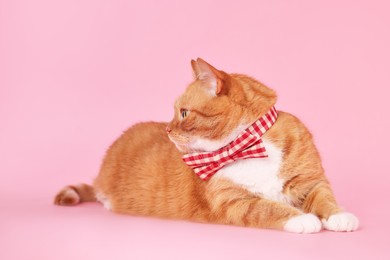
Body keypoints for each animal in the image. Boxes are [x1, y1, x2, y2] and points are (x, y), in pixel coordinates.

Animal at [54, 58, 360, 233]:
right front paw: (302, 219)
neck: (247, 145)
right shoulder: (234, 203)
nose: (167, 129)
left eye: (183, 113)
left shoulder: (310, 181)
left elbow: (324, 198)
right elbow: (268, 208)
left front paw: (339, 216)